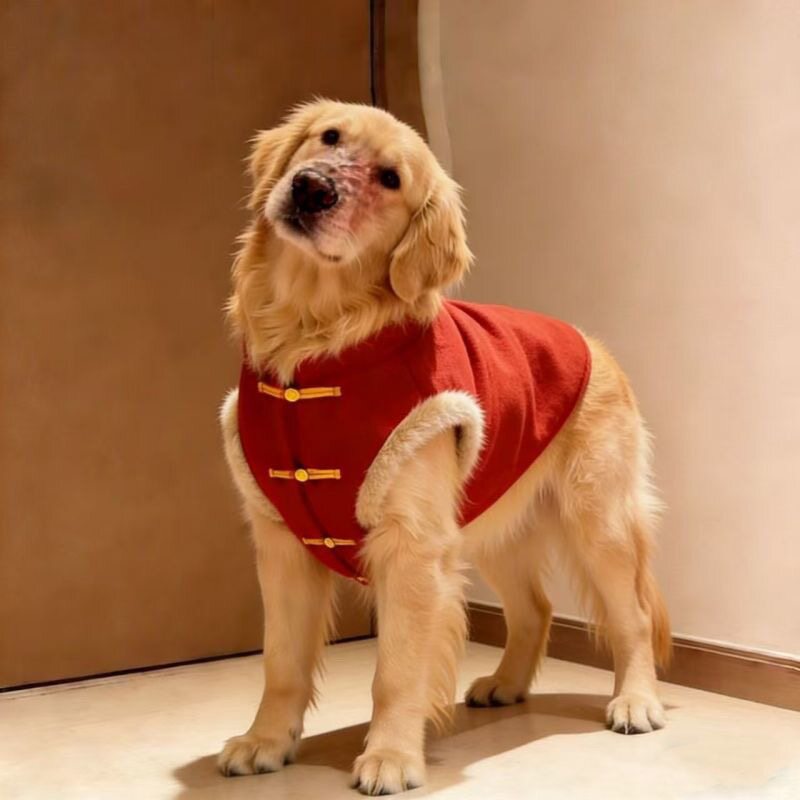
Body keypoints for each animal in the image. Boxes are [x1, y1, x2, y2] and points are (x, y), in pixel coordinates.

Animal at [217, 99, 671, 795]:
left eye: (390, 179)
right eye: (329, 137)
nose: (312, 188)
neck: (314, 340)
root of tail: (592, 341)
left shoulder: (411, 547)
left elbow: (397, 671)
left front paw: (390, 756)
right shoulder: (281, 543)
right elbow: (281, 662)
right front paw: (264, 742)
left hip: (600, 523)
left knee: (633, 617)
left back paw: (636, 701)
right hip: (493, 524)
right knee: (535, 610)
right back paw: (505, 684)